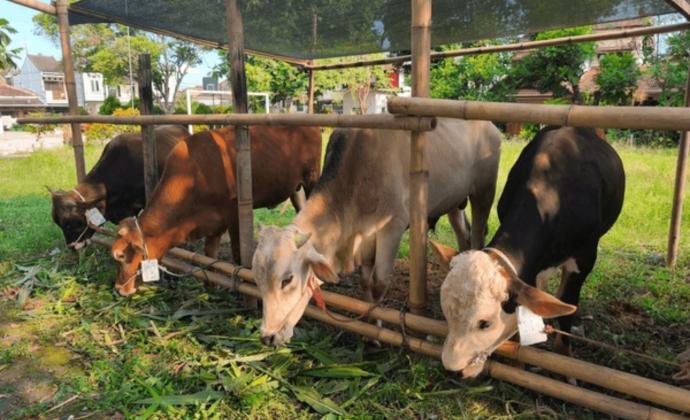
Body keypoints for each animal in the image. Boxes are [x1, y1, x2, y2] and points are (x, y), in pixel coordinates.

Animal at [111, 126, 322, 296]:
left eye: (120, 255)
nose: (119, 288)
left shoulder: (233, 214)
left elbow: (238, 255)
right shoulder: (212, 224)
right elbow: (209, 255)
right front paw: (209, 289)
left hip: (312, 177)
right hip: (295, 189)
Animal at [252, 118, 503, 346]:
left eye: (287, 280)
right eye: (256, 278)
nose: (267, 337)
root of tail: (491, 126)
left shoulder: (392, 228)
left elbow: (378, 282)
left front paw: (377, 333)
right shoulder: (364, 240)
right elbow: (365, 283)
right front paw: (369, 331)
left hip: (484, 193)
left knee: (477, 235)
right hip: (453, 205)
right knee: (464, 236)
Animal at [430, 126, 625, 379]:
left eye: (485, 323)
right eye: (446, 312)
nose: (452, 370)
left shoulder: (584, 257)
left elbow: (567, 307)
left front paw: (566, 364)